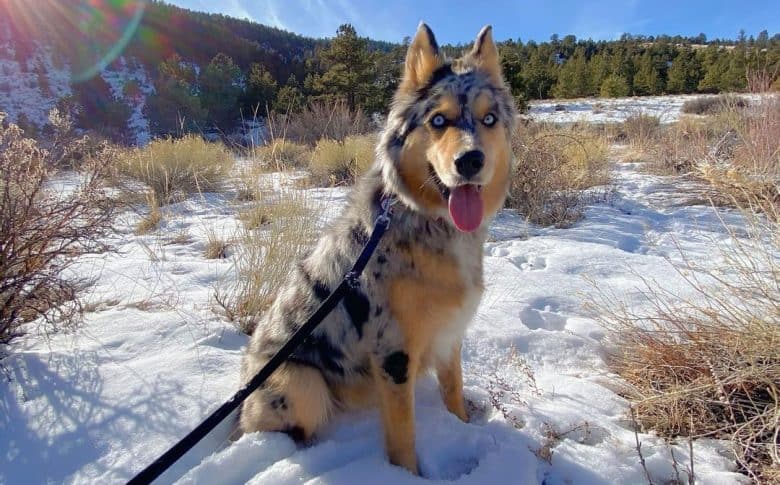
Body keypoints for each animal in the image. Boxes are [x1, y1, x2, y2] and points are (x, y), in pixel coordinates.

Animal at [241, 22, 516, 472]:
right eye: (438, 120)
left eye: (489, 118)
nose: (471, 161)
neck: (429, 222)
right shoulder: (393, 352)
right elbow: (403, 436)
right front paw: (408, 476)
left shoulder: (449, 335)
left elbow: (454, 393)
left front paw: (462, 426)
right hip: (301, 382)